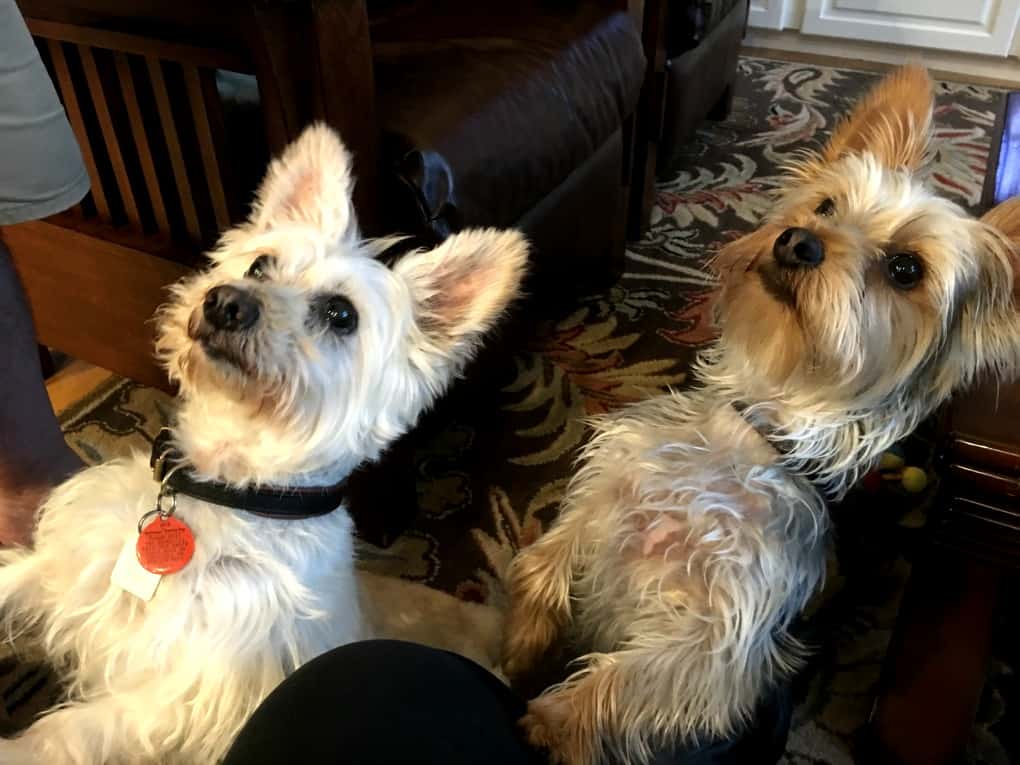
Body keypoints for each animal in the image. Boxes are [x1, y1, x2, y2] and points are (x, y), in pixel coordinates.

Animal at [0, 122, 526, 762]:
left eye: (341, 314)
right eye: (259, 266)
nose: (227, 302)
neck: (223, 490)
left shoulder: (180, 697)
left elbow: (65, 735)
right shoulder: (65, 568)